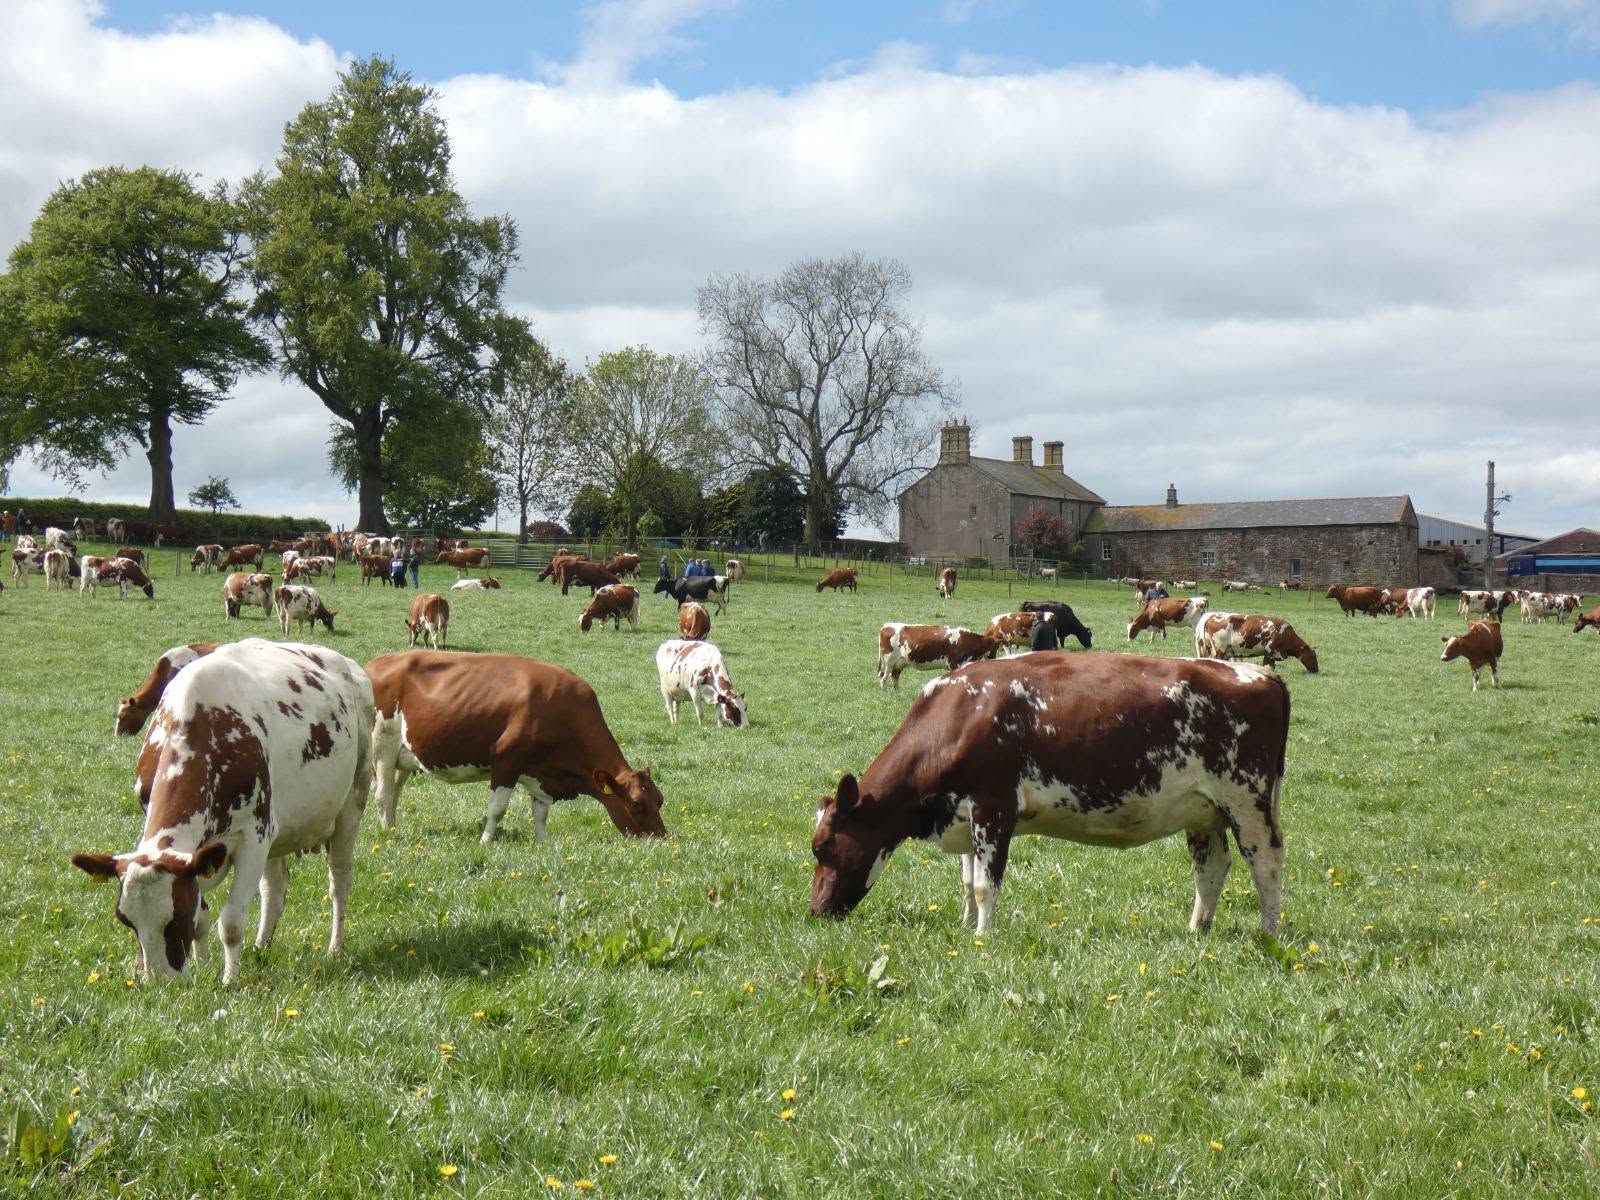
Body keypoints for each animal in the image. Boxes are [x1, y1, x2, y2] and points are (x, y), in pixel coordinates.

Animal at [71, 639, 375, 984]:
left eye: (174, 918)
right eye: (126, 920)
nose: (159, 983)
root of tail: (346, 664)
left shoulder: (254, 837)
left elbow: (230, 922)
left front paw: (230, 980)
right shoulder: (200, 854)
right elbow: (203, 916)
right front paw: (203, 966)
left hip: (351, 804)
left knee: (339, 880)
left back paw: (335, 947)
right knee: (274, 886)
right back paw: (261, 945)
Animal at [365, 651, 669, 843]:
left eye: (660, 800)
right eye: (636, 804)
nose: (661, 838)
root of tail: (375, 663)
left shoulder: (543, 774)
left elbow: (541, 813)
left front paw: (543, 843)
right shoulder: (505, 762)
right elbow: (497, 809)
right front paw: (485, 841)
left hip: (403, 756)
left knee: (393, 792)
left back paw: (392, 825)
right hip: (382, 746)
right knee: (382, 793)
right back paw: (388, 832)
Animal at [810, 653, 1289, 937]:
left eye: (824, 847)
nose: (815, 910)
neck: (960, 715)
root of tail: (1261, 673)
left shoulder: (994, 807)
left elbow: (984, 884)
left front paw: (982, 938)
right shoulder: (964, 816)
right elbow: (967, 880)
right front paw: (967, 927)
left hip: (1248, 799)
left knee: (1265, 861)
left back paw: (1268, 934)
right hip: (1202, 810)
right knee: (1212, 867)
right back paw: (1196, 930)